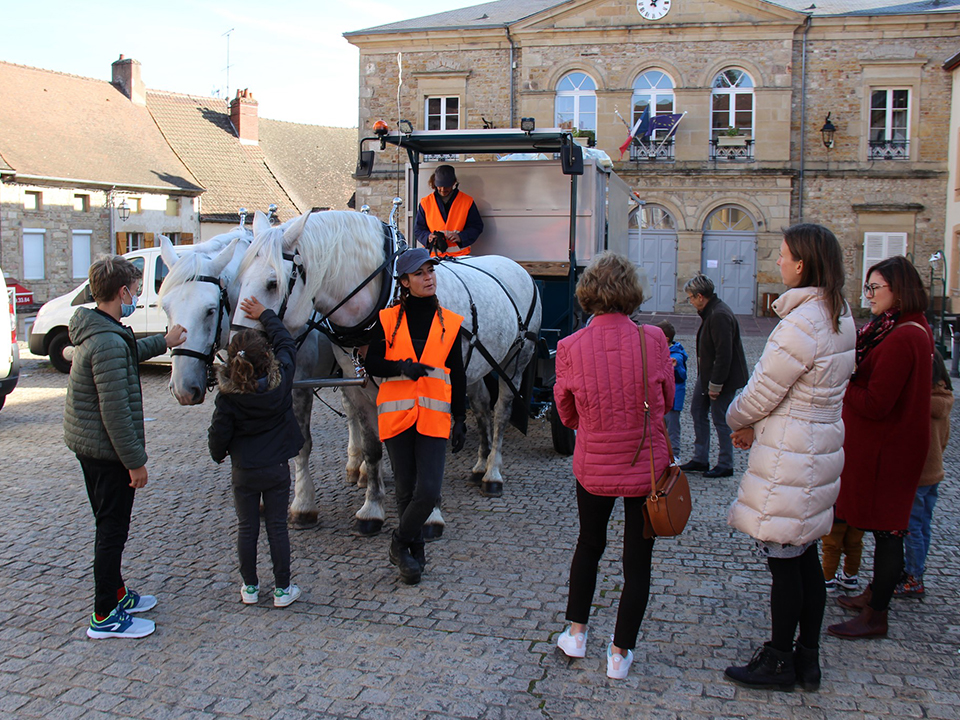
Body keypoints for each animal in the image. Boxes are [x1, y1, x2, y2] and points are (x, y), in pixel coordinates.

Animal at [156, 229, 370, 528]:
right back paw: (356, 466)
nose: (183, 389)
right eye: (166, 307)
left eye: (210, 310)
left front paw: (303, 505)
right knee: (352, 412)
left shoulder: (298, 387)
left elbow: (302, 444)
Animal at [232, 211, 544, 532]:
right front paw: (372, 508)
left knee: (501, 413)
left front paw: (429, 513)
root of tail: (516, 267)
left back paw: (493, 473)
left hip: (516, 361)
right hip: (476, 367)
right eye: (238, 280)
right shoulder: (361, 391)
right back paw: (481, 464)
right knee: (481, 404)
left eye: (272, 283)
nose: (240, 353)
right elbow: (373, 448)